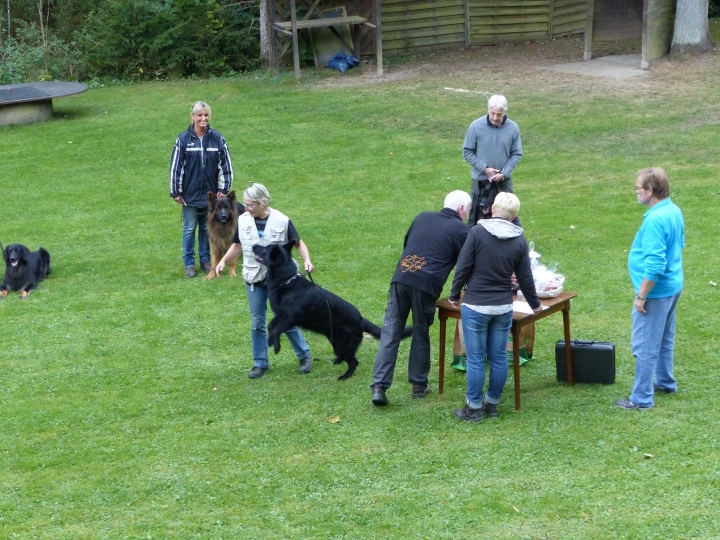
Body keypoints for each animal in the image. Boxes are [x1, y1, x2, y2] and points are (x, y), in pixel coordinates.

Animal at [253, 245, 410, 380]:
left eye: (264, 248)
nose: (254, 245)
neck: (286, 281)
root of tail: (360, 319)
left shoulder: (291, 317)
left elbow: (276, 329)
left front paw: (276, 346)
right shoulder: (280, 315)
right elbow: (271, 327)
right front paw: (270, 341)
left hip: (342, 346)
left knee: (354, 362)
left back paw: (345, 376)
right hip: (335, 342)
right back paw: (337, 361)